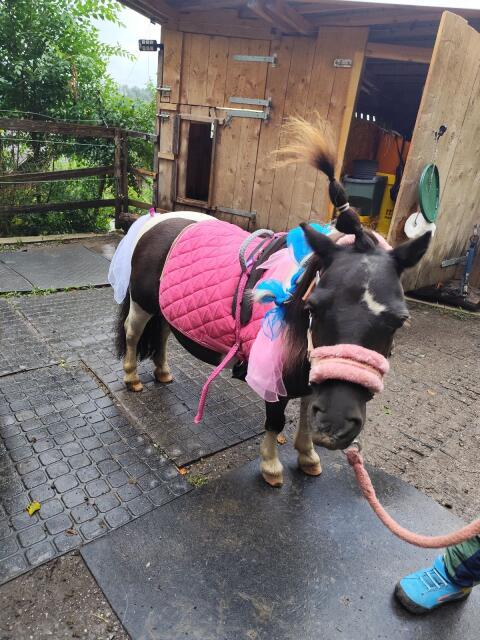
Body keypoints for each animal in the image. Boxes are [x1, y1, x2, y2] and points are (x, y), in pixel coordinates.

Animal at [114, 119, 431, 488]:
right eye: (313, 308)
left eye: (399, 320)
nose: (336, 427)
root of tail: (156, 219)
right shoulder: (273, 376)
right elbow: (276, 420)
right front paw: (271, 466)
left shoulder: (311, 375)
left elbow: (306, 414)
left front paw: (308, 456)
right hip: (142, 303)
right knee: (134, 332)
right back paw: (132, 377)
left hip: (165, 308)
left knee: (163, 333)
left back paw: (163, 372)